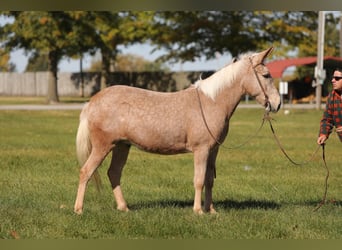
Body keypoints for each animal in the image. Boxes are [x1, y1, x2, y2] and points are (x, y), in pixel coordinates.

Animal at [74, 47, 280, 215]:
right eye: (266, 75)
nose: (277, 104)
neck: (212, 101)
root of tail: (92, 102)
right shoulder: (201, 150)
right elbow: (199, 179)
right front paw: (198, 211)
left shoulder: (213, 150)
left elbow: (209, 180)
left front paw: (211, 210)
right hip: (103, 146)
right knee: (86, 171)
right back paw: (79, 209)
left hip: (122, 146)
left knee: (114, 173)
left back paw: (123, 208)